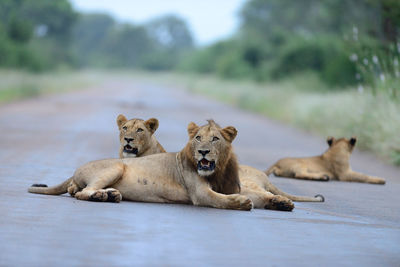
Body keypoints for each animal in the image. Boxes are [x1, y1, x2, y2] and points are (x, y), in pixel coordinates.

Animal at [28, 121, 300, 211]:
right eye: (197, 138)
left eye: (215, 139)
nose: (202, 151)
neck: (218, 170)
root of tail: (76, 169)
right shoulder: (200, 194)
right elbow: (220, 199)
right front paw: (242, 203)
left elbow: (259, 195)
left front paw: (280, 202)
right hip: (116, 167)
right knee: (82, 193)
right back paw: (103, 196)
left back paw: (111, 195)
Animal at [115, 115, 322, 205]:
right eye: (125, 128)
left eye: (139, 130)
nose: (128, 139)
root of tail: (264, 175)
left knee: (264, 194)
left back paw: (279, 201)